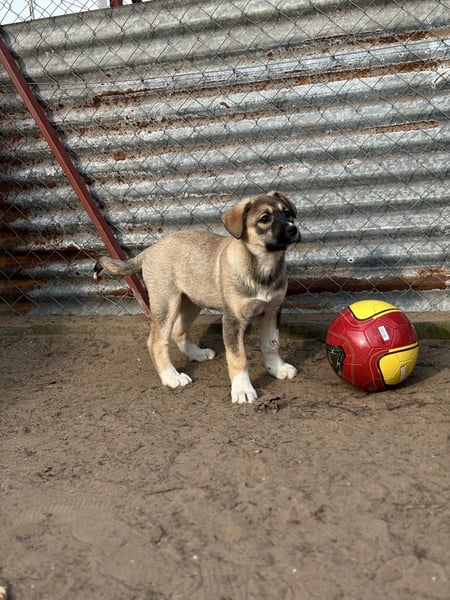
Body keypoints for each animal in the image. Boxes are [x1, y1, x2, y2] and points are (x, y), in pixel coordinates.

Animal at [94, 191, 301, 404]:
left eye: (287, 213)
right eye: (265, 219)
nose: (293, 230)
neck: (263, 266)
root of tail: (150, 249)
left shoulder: (272, 310)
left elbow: (271, 344)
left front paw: (277, 368)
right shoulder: (232, 320)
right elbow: (238, 358)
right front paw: (242, 389)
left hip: (191, 303)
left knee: (178, 331)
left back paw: (197, 353)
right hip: (166, 304)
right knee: (156, 341)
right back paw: (171, 377)